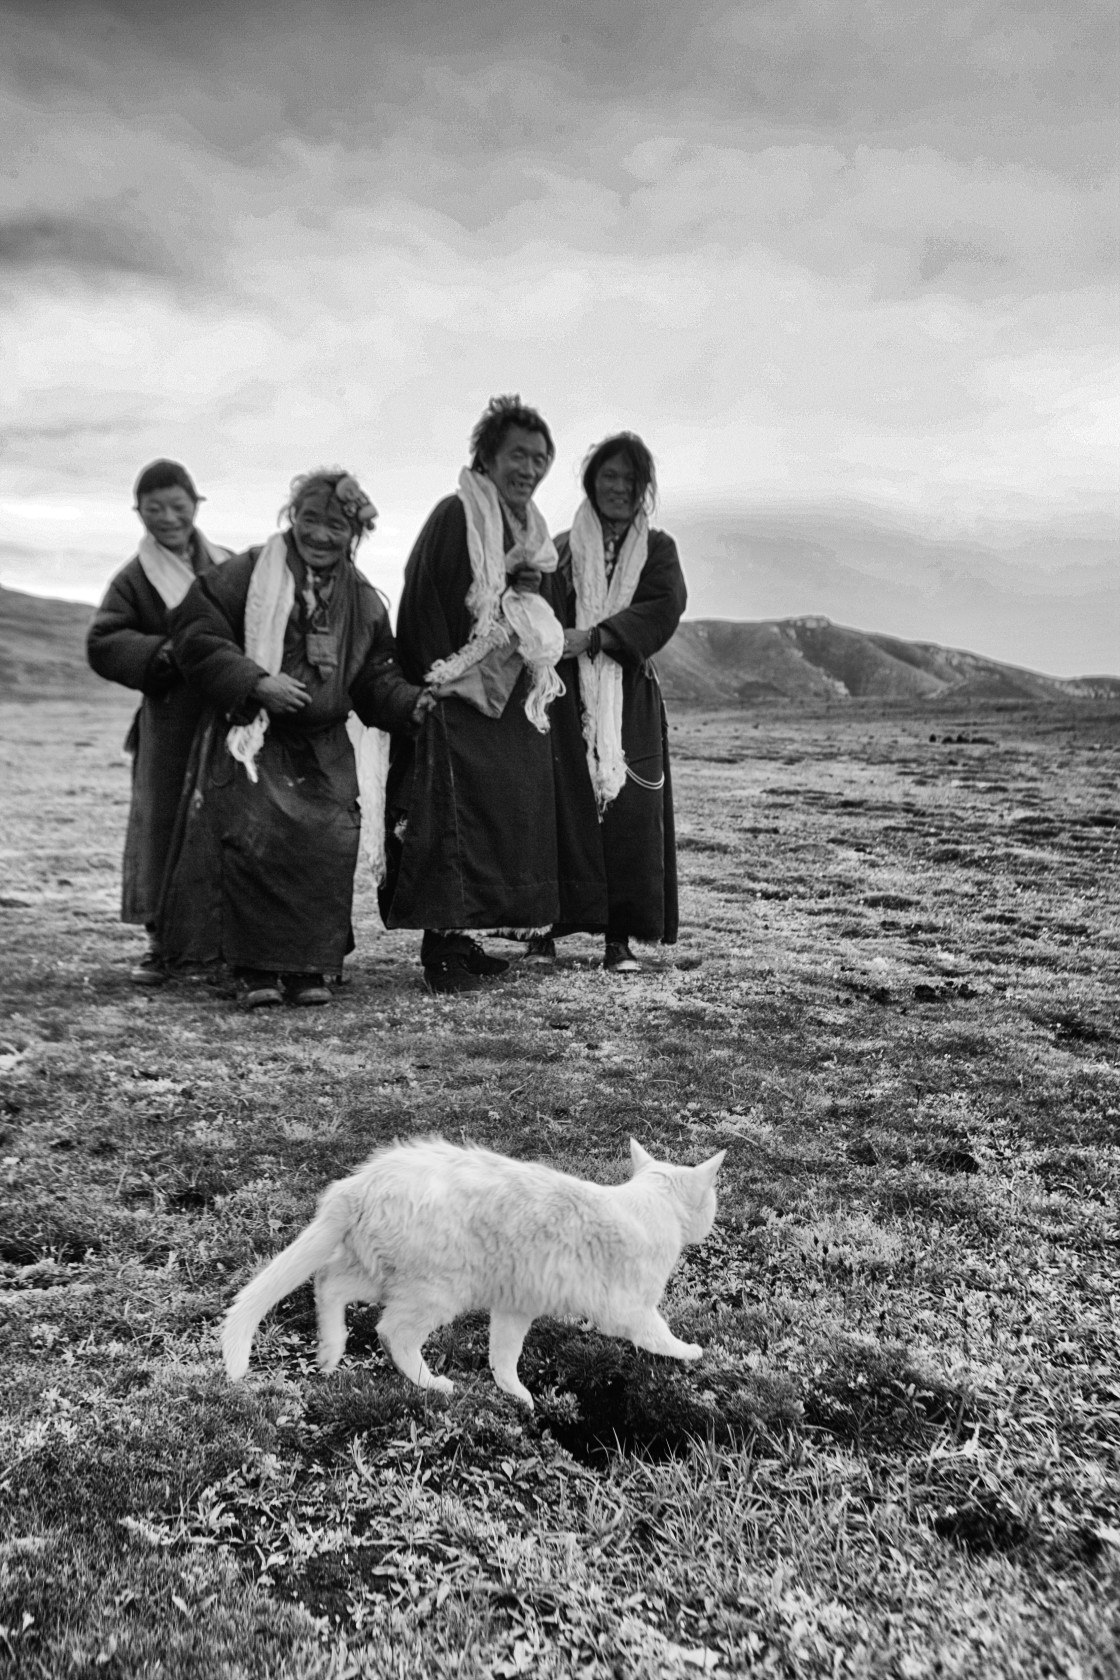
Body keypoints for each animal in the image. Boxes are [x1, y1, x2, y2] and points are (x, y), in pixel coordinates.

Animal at [221, 1135, 728, 1411]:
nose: (711, 1221)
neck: (650, 1202)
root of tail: (361, 1181)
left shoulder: (515, 1305)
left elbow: (504, 1356)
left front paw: (516, 1394)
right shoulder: (630, 1310)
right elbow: (660, 1335)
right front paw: (691, 1351)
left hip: (382, 1272)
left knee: (327, 1282)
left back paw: (330, 1351)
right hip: (438, 1288)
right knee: (391, 1331)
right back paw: (431, 1383)